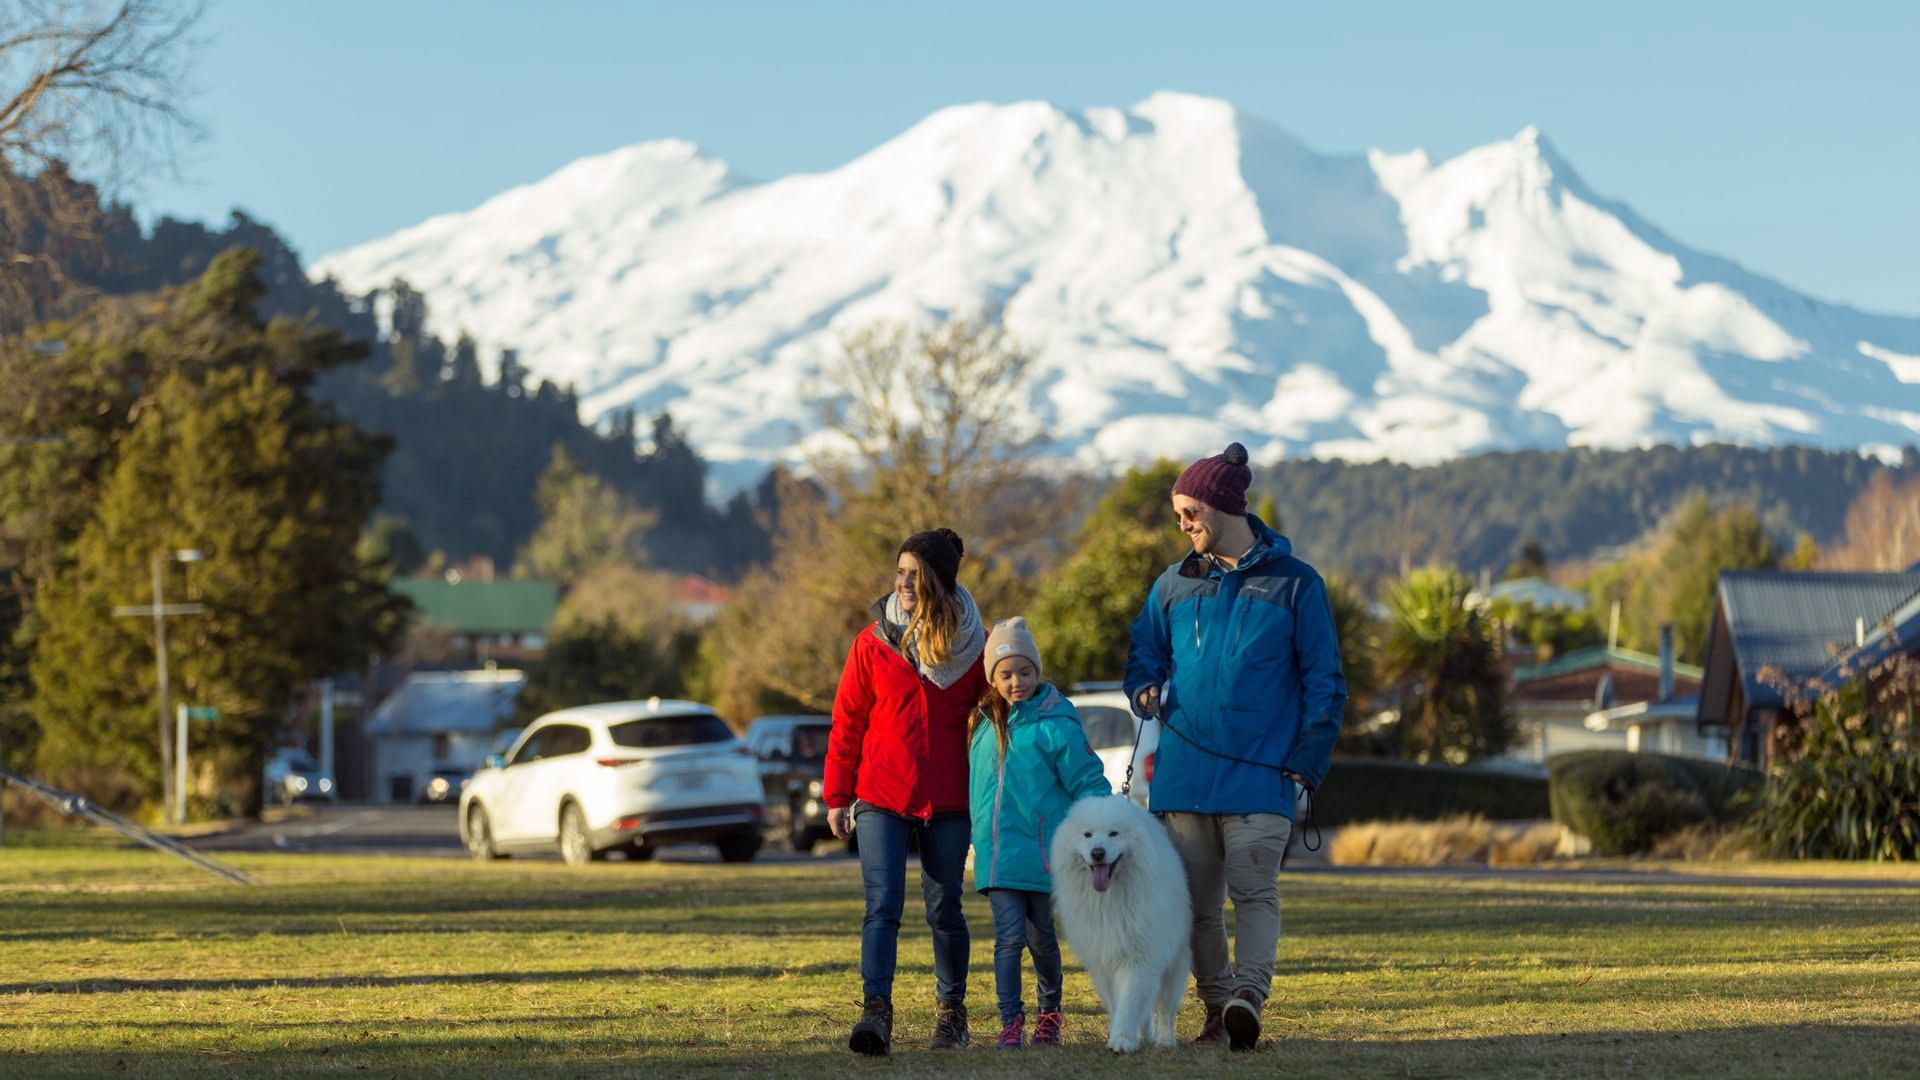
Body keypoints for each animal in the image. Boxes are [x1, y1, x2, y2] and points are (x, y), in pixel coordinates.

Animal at [1052, 791, 1182, 1045]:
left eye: (1114, 833)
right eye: (1087, 834)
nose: (1097, 853)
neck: (1108, 899)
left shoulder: (1141, 957)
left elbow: (1130, 1001)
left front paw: (1122, 1039)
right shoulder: (1102, 962)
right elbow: (1117, 1002)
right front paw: (1121, 1034)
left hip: (1175, 961)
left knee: (1165, 1007)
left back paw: (1165, 1040)